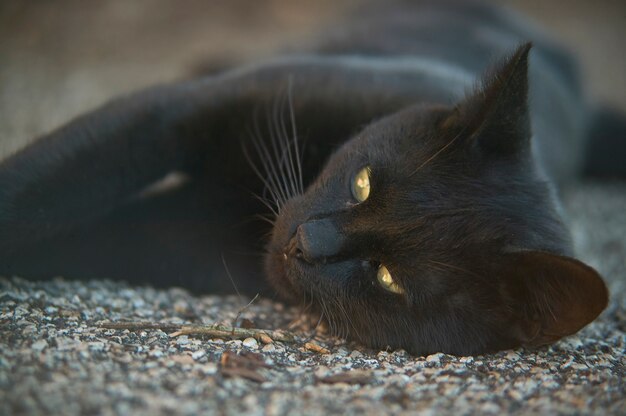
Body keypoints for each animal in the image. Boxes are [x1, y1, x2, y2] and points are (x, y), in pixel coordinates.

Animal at [0, 1, 608, 356]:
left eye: (388, 278)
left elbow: (68, 229)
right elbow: (48, 183)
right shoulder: (175, 113)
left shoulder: (170, 237)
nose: (304, 243)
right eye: (363, 182)